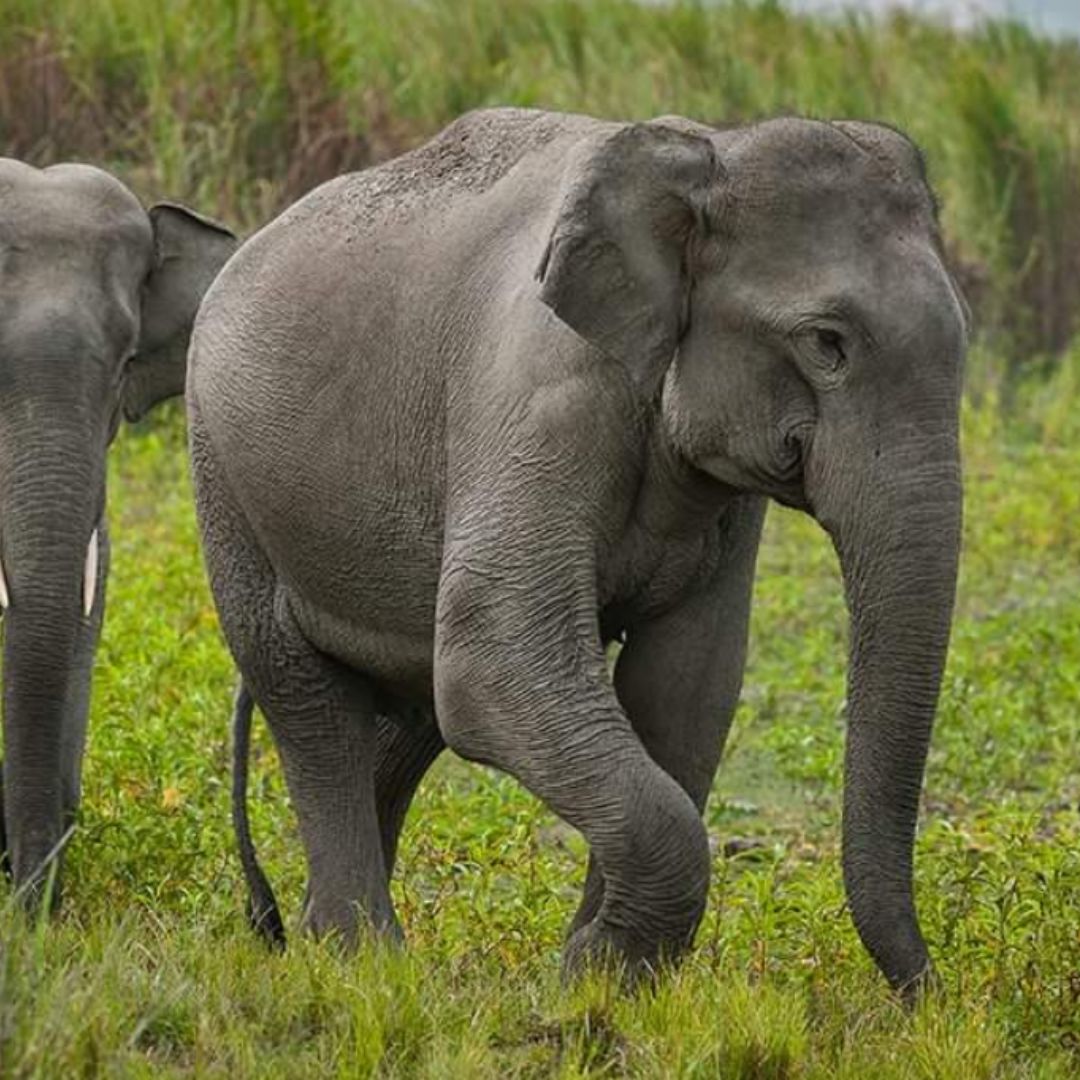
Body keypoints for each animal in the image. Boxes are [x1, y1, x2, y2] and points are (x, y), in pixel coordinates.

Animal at [187, 107, 972, 993]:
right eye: (827, 342)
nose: (927, 996)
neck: (708, 153)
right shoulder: (540, 396)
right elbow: (495, 656)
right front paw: (593, 969)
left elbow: (686, 685)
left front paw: (602, 978)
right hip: (224, 475)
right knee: (306, 695)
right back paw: (361, 959)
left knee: (410, 709)